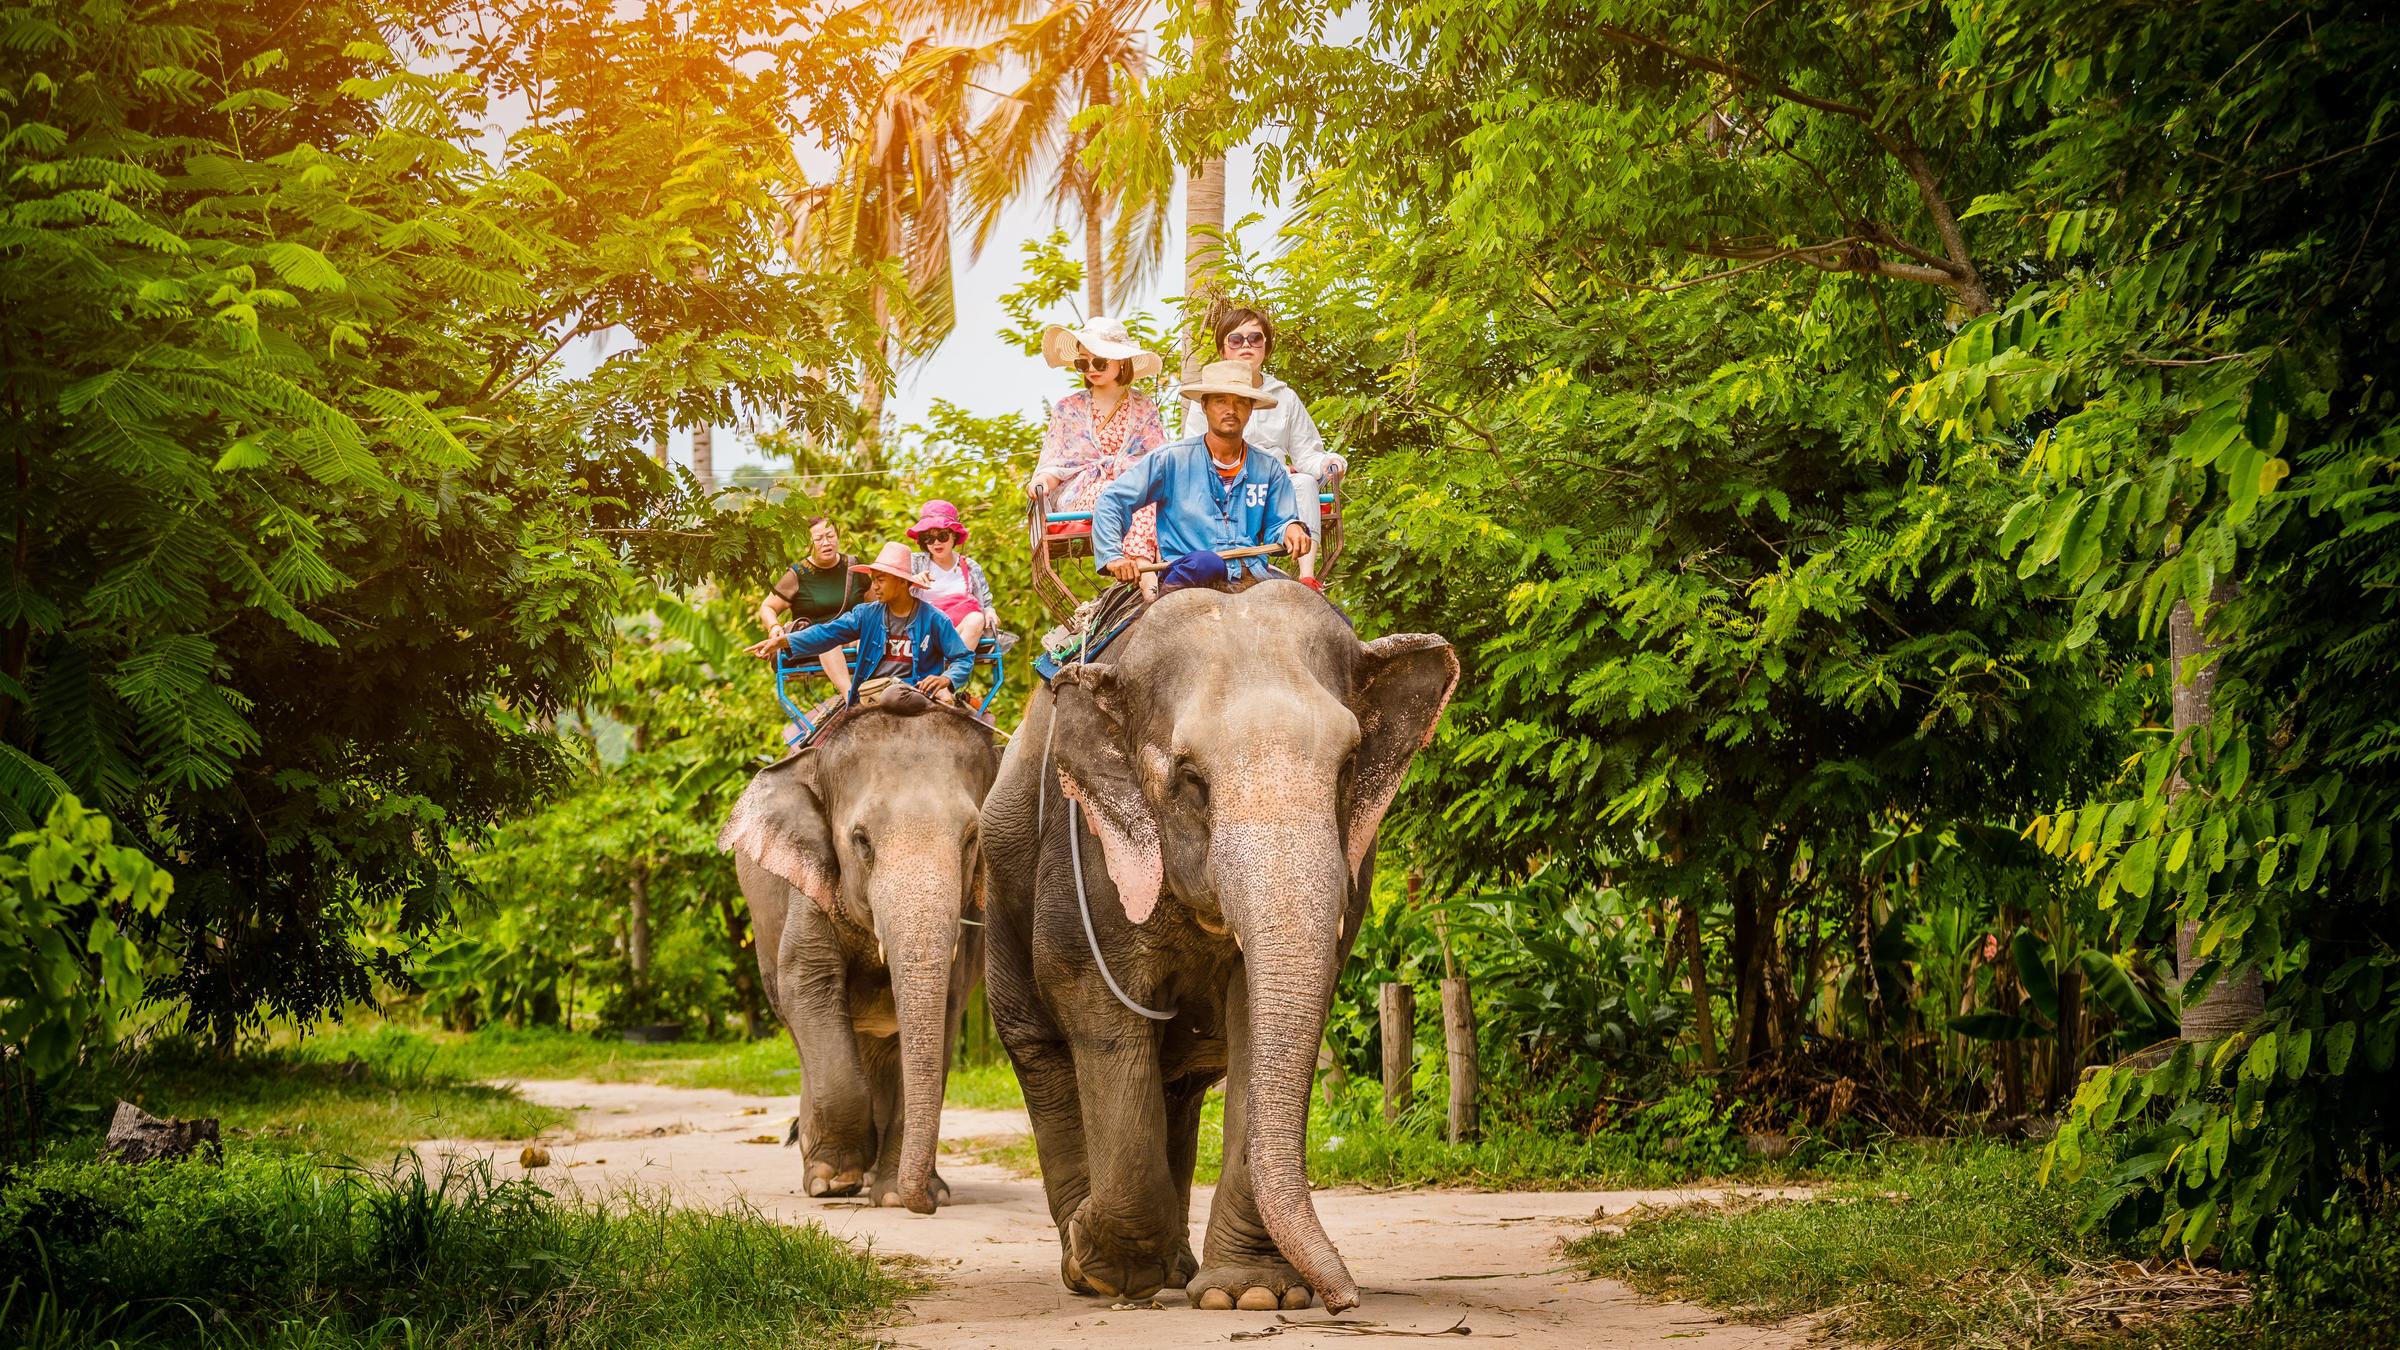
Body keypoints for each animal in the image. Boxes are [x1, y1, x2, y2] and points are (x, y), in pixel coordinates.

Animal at [710, 682, 993, 1210]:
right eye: (861, 840)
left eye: (971, 839)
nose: (926, 1205)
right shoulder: (810, 888)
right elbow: (807, 986)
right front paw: (837, 1180)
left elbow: (946, 1006)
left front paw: (899, 1196)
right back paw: (823, 1168)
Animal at [979, 578, 1459, 1306]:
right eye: (1190, 779)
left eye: (1349, 766)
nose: (1345, 1298)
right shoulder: (1084, 850)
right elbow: (1096, 1002)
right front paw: (1110, 1266)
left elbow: (1258, 1022)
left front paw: (1251, 1293)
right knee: (1041, 1052)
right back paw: (1086, 1266)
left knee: (1175, 1086)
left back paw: (1171, 1268)